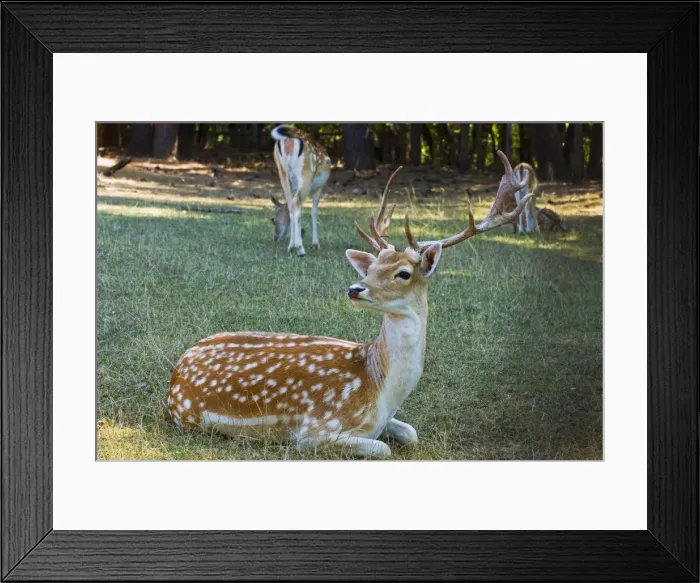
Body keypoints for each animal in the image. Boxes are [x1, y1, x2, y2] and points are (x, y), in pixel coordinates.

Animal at [168, 150, 532, 458]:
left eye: (403, 273)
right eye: (370, 268)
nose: (355, 288)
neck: (382, 391)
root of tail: (175, 374)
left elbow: (411, 433)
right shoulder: (314, 431)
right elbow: (382, 448)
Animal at [270, 125, 332, 257]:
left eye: (272, 219)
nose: (275, 239)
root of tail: (288, 141)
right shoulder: (318, 189)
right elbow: (314, 212)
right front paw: (315, 244)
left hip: (282, 173)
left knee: (291, 204)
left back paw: (291, 247)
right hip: (306, 174)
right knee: (297, 203)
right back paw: (300, 249)